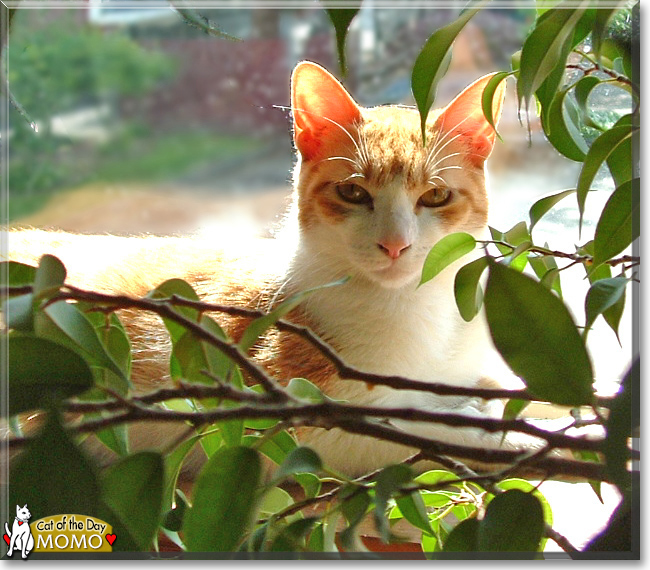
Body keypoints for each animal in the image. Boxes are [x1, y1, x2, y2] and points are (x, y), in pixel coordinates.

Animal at [7, 61, 528, 474]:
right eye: (353, 192)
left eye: (435, 195)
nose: (395, 245)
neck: (415, 306)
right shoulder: (302, 417)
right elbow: (415, 429)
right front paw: (510, 436)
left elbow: (486, 388)